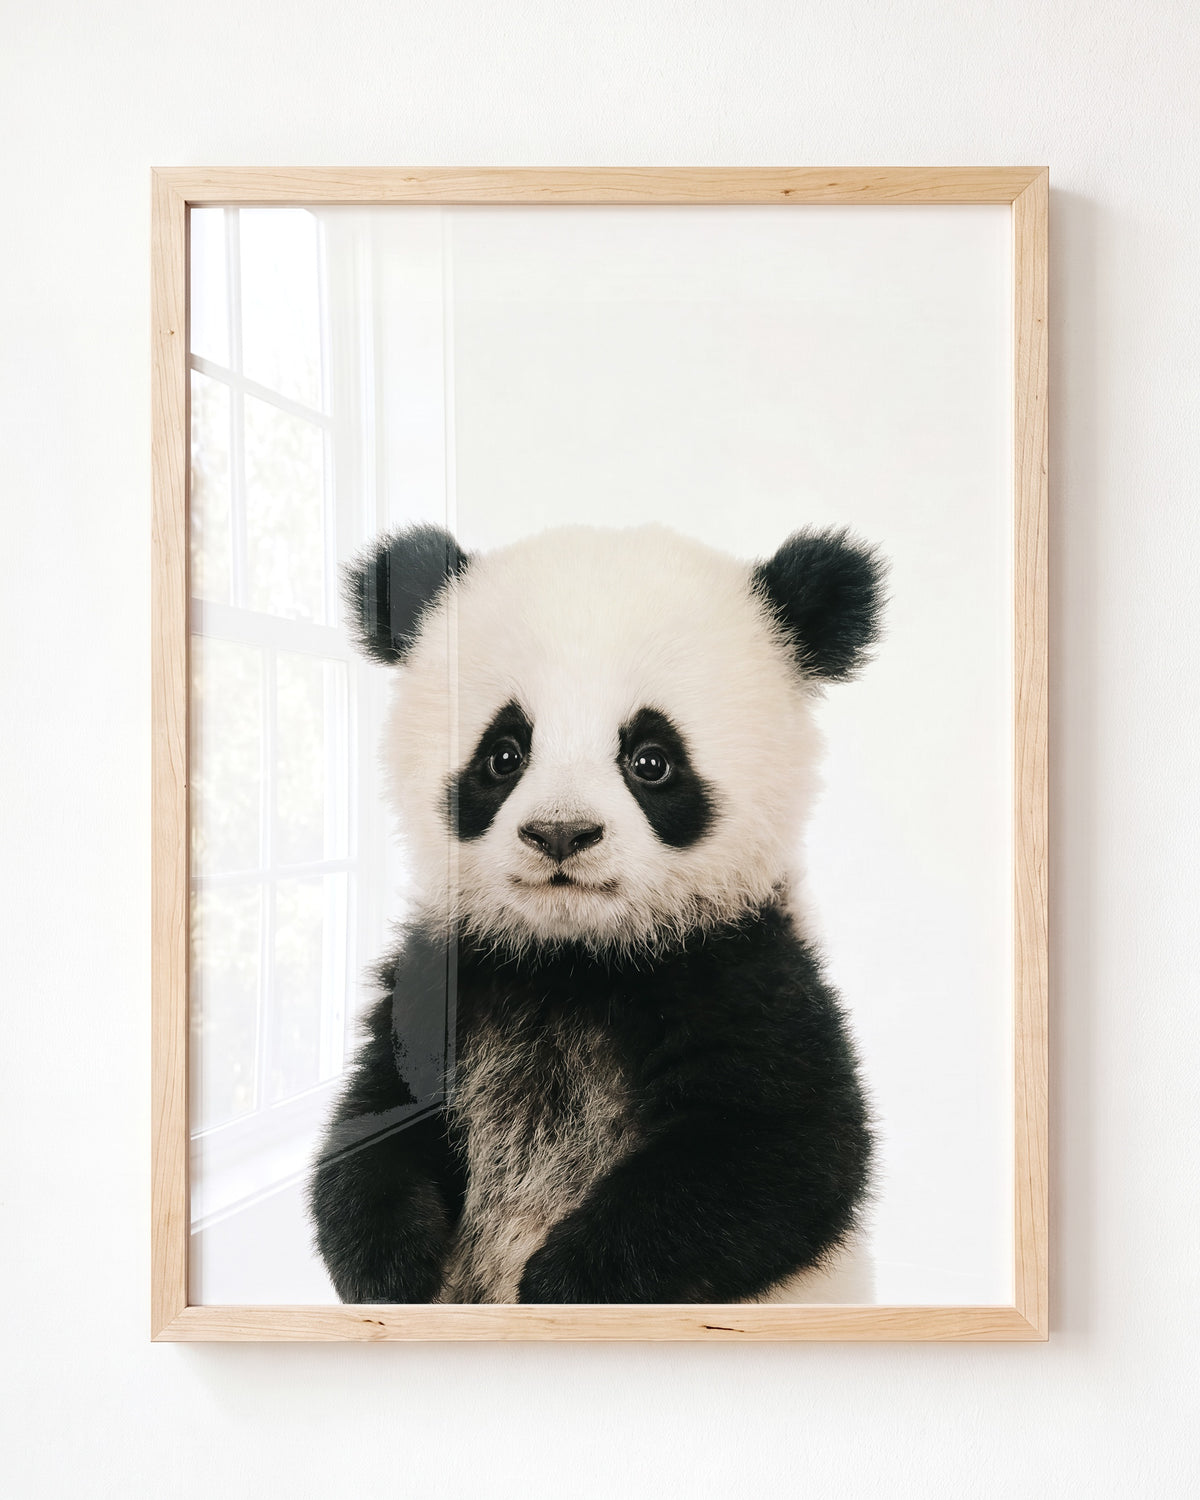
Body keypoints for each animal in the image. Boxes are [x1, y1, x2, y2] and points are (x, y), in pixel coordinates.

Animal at [309, 521, 884, 1305]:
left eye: (651, 759)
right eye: (504, 754)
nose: (561, 833)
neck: (574, 957)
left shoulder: (745, 971)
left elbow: (783, 1153)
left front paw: (561, 1284)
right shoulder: (447, 977)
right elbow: (374, 1121)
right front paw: (392, 1270)